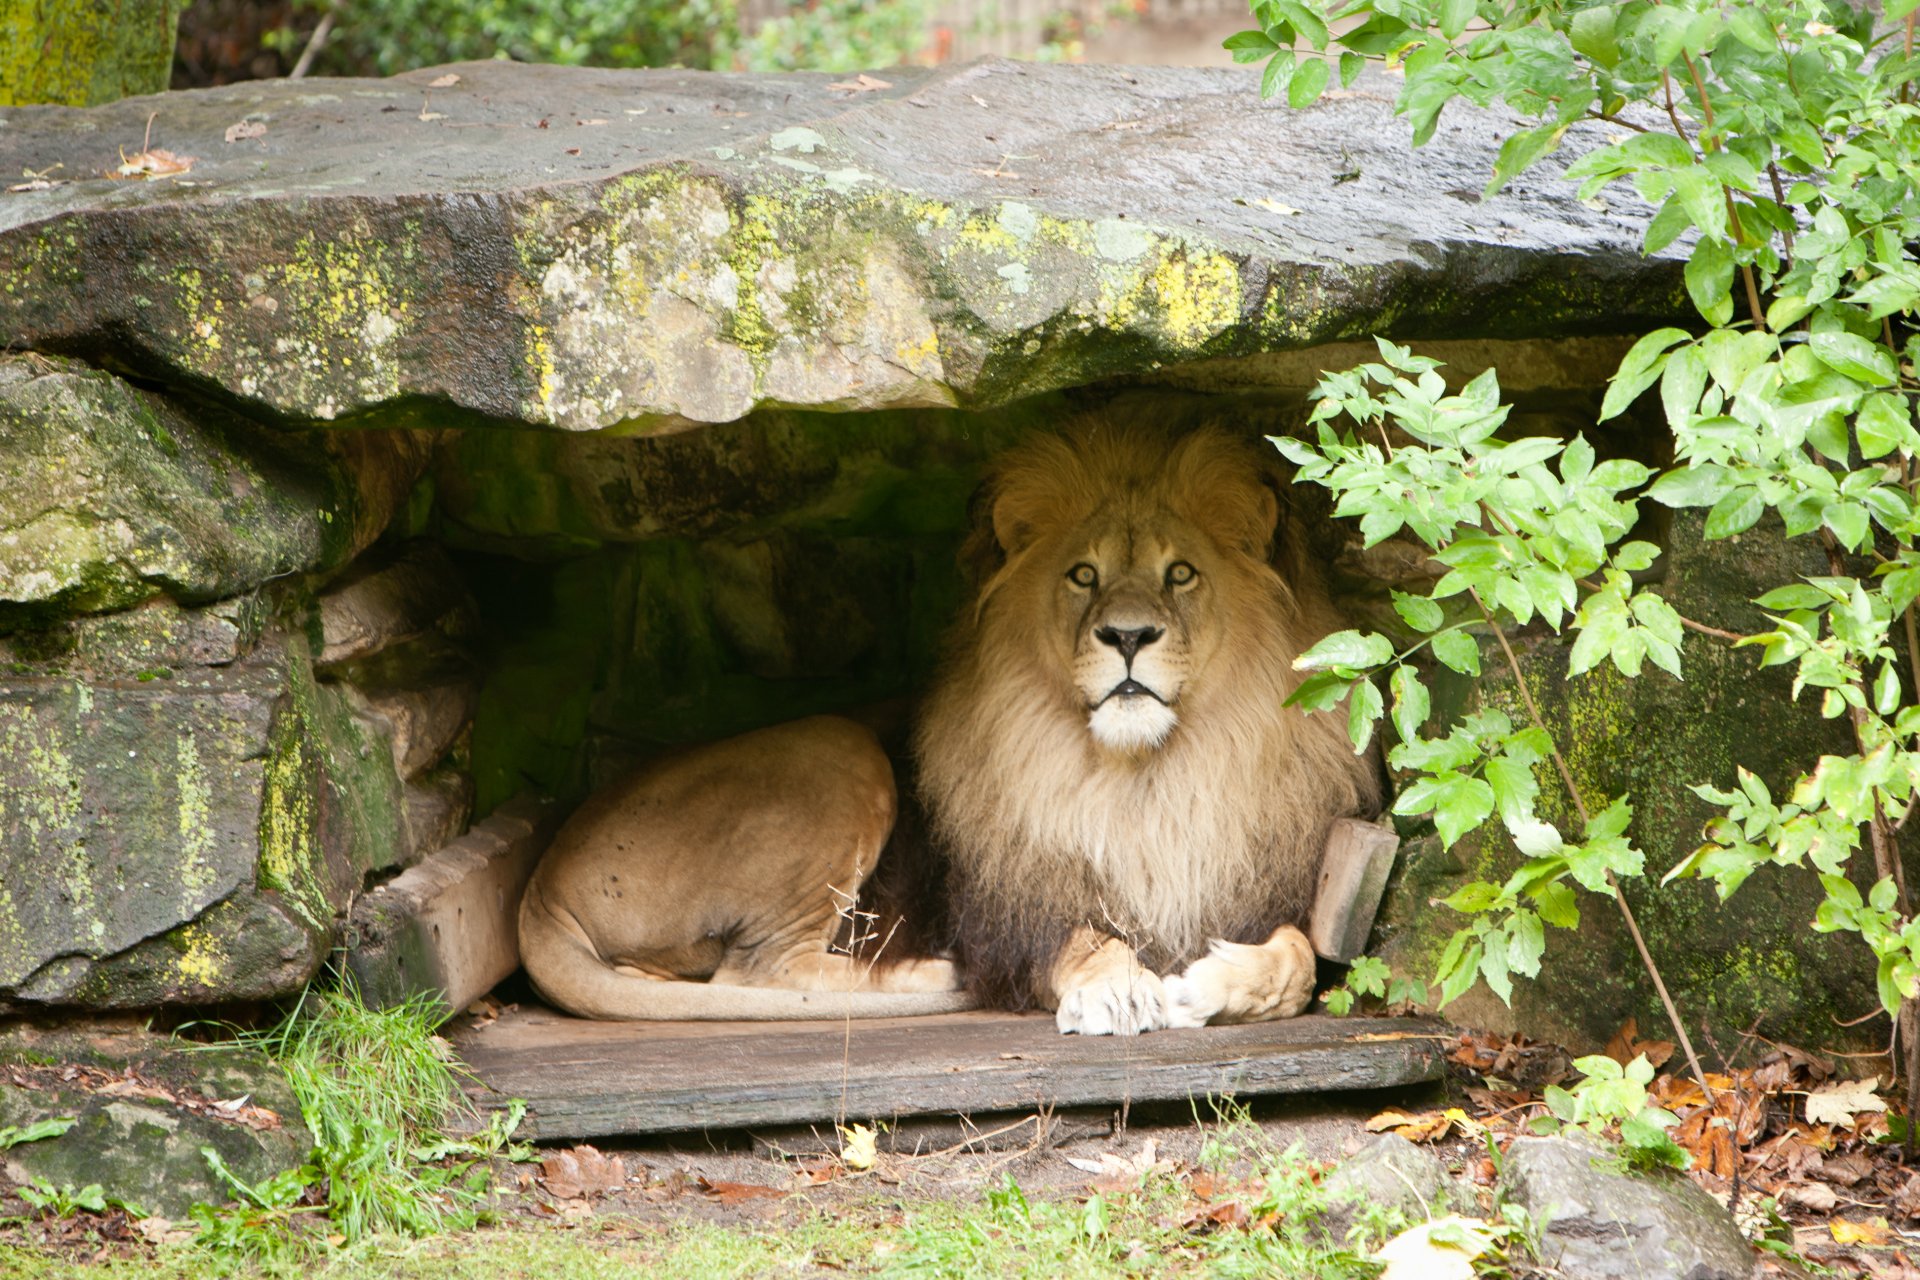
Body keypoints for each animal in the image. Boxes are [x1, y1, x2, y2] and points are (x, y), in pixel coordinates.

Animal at [913, 420, 1382, 1043]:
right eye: (1084, 575)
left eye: (1180, 573)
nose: (1128, 635)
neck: (1147, 781)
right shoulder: (1006, 934)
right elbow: (1085, 938)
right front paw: (1117, 990)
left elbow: (1299, 960)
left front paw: (1207, 986)